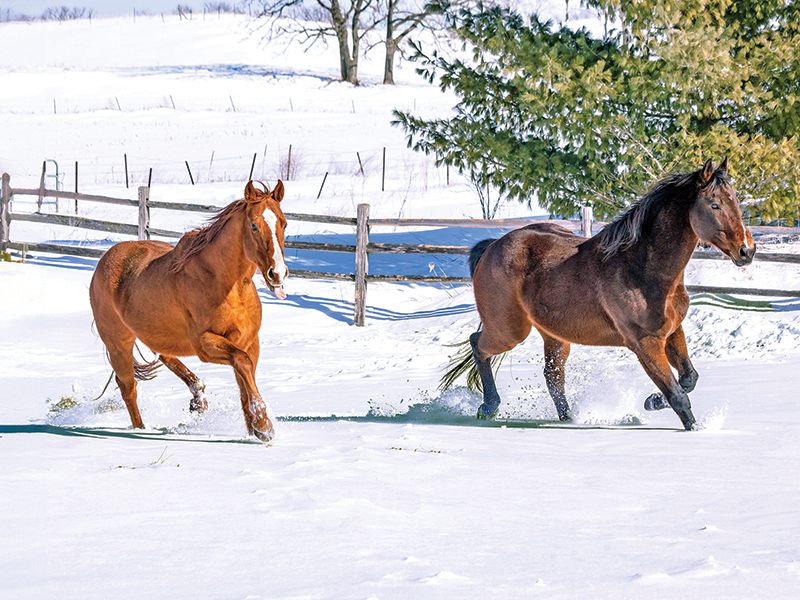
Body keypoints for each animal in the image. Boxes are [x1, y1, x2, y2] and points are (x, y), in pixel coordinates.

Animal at [89, 180, 289, 442]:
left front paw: (253, 429)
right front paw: (264, 426)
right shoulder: (205, 344)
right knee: (128, 387)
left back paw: (198, 398)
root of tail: (104, 261)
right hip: (118, 344)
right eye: (254, 225)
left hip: (157, 334)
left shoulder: (248, 341)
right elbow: (242, 364)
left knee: (164, 357)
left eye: (284, 223)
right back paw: (141, 430)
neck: (227, 284)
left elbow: (244, 383)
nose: (278, 274)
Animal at [441, 159, 755, 430]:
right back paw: (488, 407)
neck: (642, 268)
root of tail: (492, 246)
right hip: (510, 330)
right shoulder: (645, 343)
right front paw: (694, 428)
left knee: (552, 376)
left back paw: (567, 419)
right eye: (714, 204)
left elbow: (689, 378)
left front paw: (652, 401)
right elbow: (677, 394)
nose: (747, 251)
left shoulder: (673, 331)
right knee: (478, 345)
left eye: (735, 202)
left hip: (553, 335)